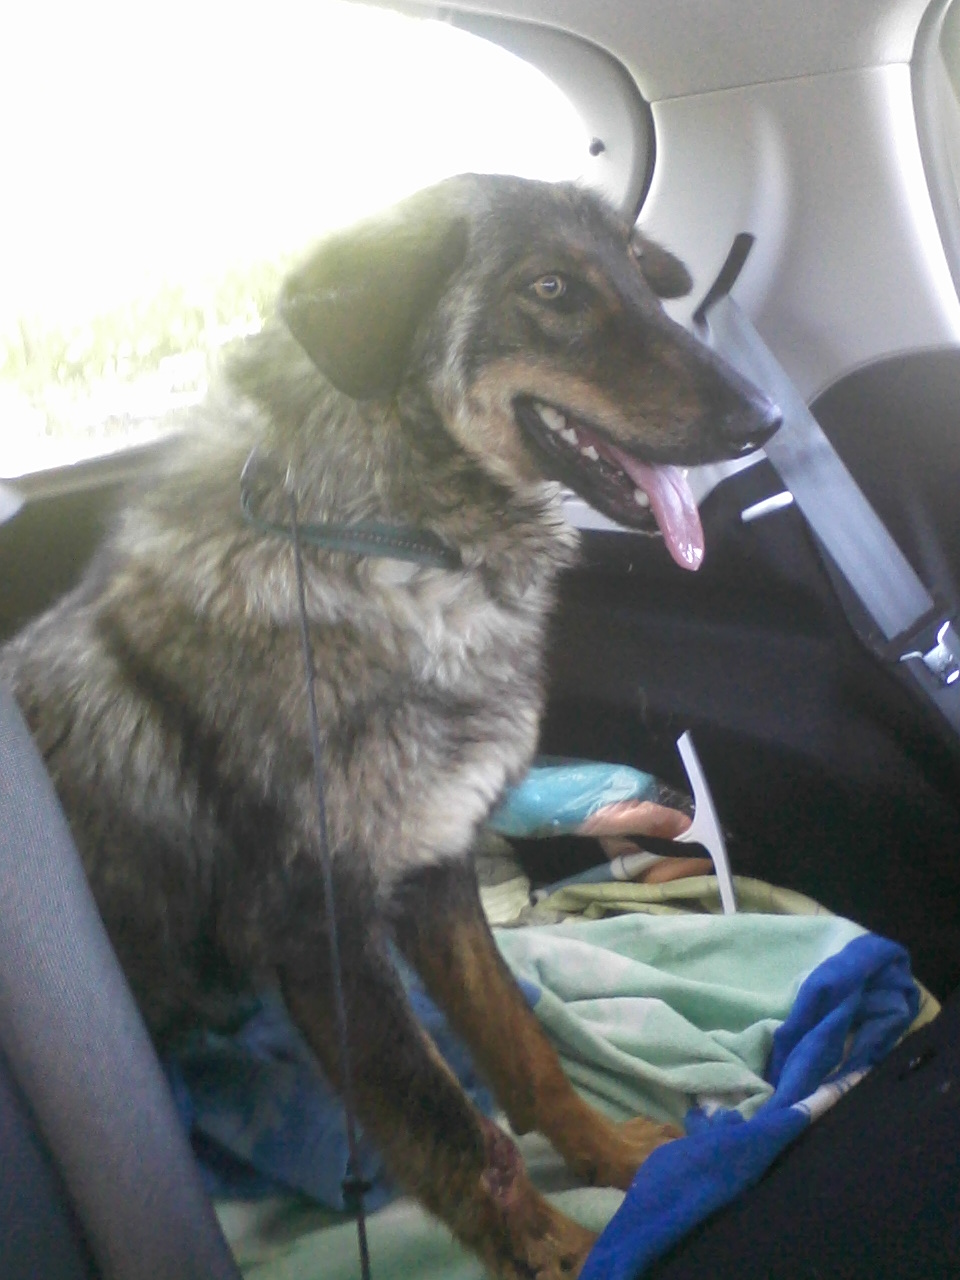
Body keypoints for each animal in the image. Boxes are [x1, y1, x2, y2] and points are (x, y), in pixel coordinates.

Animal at [0, 175, 778, 1278]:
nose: (767, 418)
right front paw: (564, 1254)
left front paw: (616, 1161)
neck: (393, 548)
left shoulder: (434, 874)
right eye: (550, 288)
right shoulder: (321, 936)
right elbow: (456, 1133)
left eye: (639, 269)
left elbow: (522, 1048)